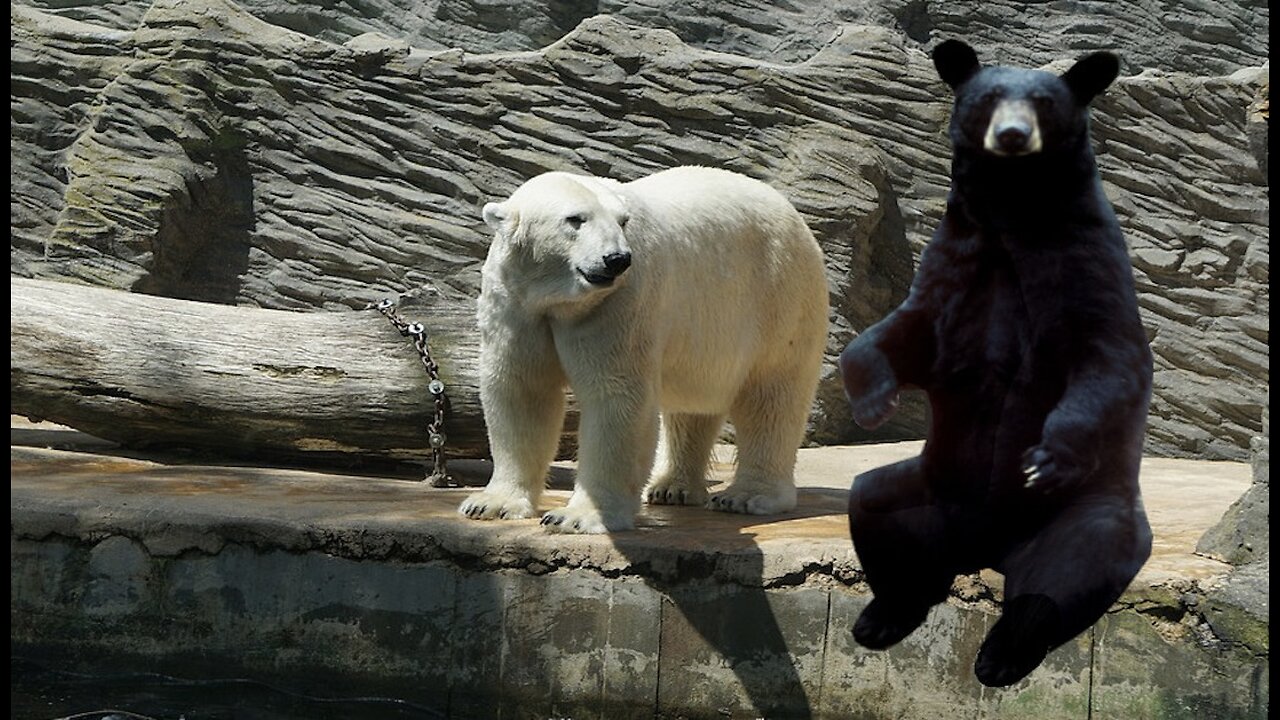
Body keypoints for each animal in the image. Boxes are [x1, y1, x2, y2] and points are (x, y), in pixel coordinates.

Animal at [460, 165, 829, 530]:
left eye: (623, 221)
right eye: (575, 219)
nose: (617, 259)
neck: (559, 300)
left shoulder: (618, 304)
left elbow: (615, 397)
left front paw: (580, 516)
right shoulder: (517, 305)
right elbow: (522, 391)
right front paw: (490, 504)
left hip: (779, 296)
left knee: (771, 397)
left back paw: (746, 496)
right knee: (692, 405)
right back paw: (672, 487)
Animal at [839, 40, 1162, 681]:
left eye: (1043, 101)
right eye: (987, 98)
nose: (1012, 135)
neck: (1014, 208)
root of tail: (985, 550)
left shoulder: (1084, 262)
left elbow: (1107, 361)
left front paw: (1046, 457)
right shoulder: (957, 264)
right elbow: (905, 331)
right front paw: (872, 402)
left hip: (1081, 514)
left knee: (1063, 578)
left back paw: (1001, 655)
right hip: (925, 489)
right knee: (876, 510)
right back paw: (883, 616)